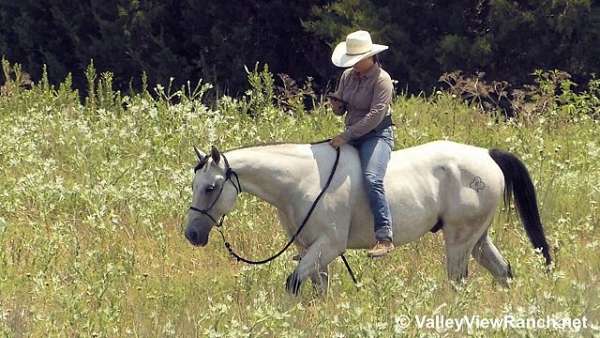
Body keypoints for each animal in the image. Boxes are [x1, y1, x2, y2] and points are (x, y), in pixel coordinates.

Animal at [185, 141, 552, 294]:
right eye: (194, 184)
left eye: (211, 187)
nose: (192, 234)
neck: (302, 180)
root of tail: (487, 155)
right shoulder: (309, 248)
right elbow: (317, 288)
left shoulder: (328, 246)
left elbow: (293, 283)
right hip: (477, 239)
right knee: (503, 273)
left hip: (459, 241)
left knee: (458, 282)